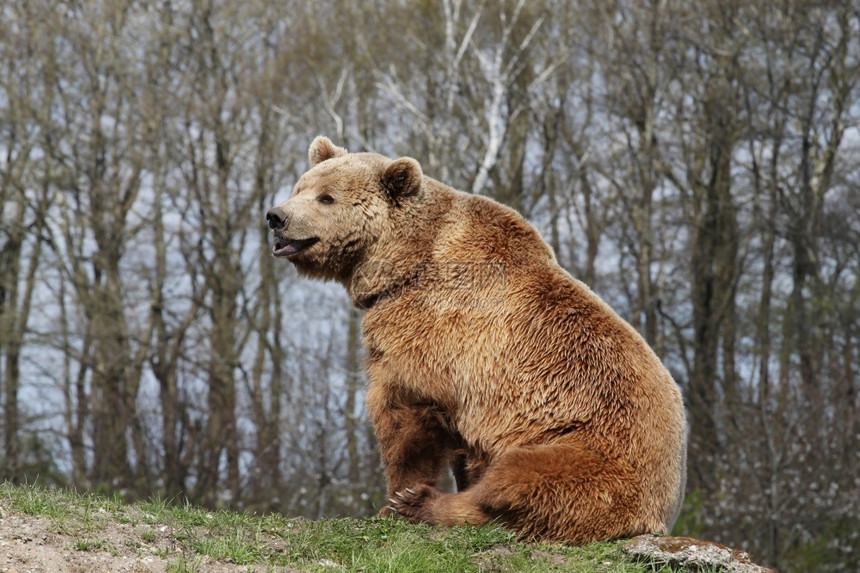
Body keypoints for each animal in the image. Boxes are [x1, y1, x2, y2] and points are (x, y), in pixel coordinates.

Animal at [266, 136, 688, 544]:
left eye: (326, 197)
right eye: (301, 186)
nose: (276, 216)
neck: (402, 265)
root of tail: (660, 514)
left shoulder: (431, 331)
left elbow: (404, 416)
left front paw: (395, 500)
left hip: (589, 451)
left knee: (518, 482)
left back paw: (424, 504)